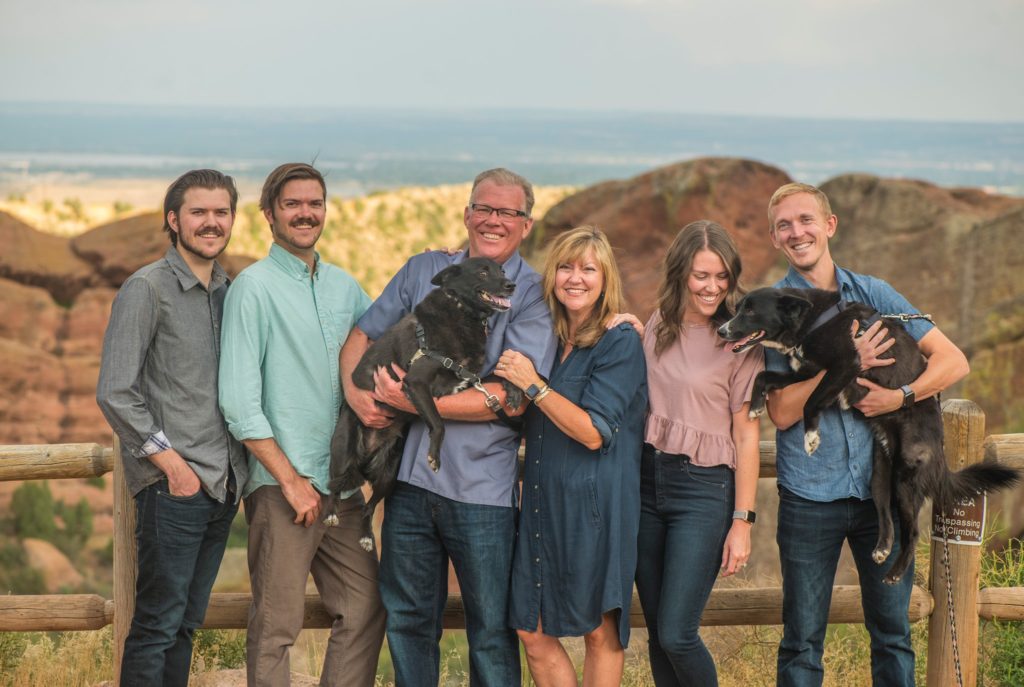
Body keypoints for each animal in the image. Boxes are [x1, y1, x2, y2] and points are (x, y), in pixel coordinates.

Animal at [325, 258, 524, 552]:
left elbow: (492, 379)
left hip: (389, 474)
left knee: (368, 507)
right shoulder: (416, 382)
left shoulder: (463, 381)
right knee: (333, 486)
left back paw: (366, 536)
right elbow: (439, 424)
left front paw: (514, 388)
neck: (462, 312)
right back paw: (330, 513)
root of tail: (366, 457)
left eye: (503, 270)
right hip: (342, 453)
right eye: (482, 271)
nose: (511, 285)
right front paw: (434, 456)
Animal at [716, 286, 1019, 581]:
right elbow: (764, 377)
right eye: (739, 308)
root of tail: (942, 456)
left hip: (906, 477)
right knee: (885, 515)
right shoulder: (806, 373)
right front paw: (755, 406)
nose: (722, 331)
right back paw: (882, 548)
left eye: (750, 311)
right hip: (879, 475)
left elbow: (809, 402)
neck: (812, 321)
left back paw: (895, 573)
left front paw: (811, 437)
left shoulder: (846, 364)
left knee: (913, 532)